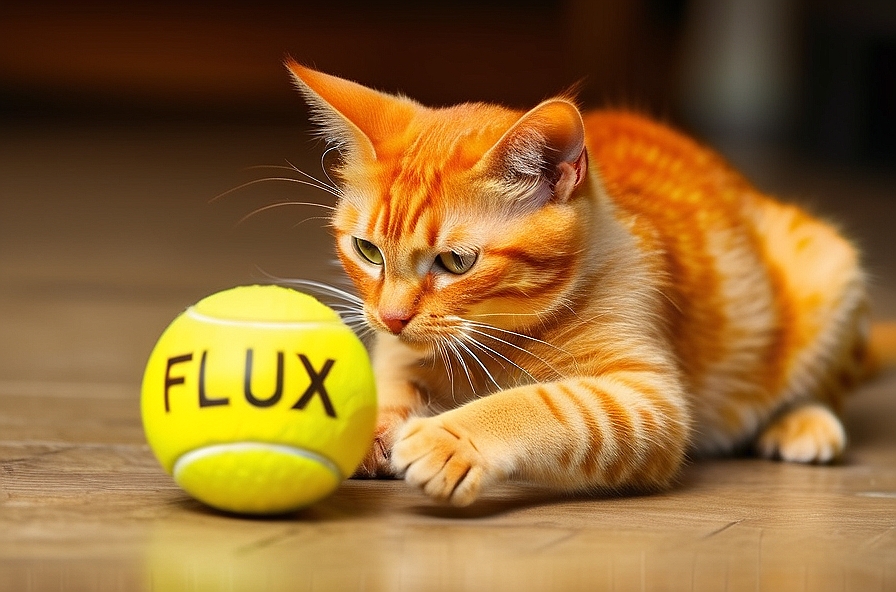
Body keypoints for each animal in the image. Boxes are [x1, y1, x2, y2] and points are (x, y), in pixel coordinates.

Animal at [288, 61, 888, 508]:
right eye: (367, 251)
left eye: (456, 262)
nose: (390, 316)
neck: (499, 339)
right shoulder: (397, 354)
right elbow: (389, 385)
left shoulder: (649, 400)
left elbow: (549, 405)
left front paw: (452, 436)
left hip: (829, 269)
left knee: (821, 385)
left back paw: (802, 423)